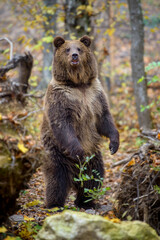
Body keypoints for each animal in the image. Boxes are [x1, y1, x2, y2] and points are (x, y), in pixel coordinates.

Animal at [41, 34, 119, 209]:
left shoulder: (95, 96)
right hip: (57, 151)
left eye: (79, 48)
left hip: (94, 155)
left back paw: (86, 201)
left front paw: (114, 144)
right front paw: (78, 152)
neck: (78, 84)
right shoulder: (61, 97)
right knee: (57, 178)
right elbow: (63, 124)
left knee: (94, 176)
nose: (74, 56)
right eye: (67, 49)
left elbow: (104, 118)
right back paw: (54, 204)